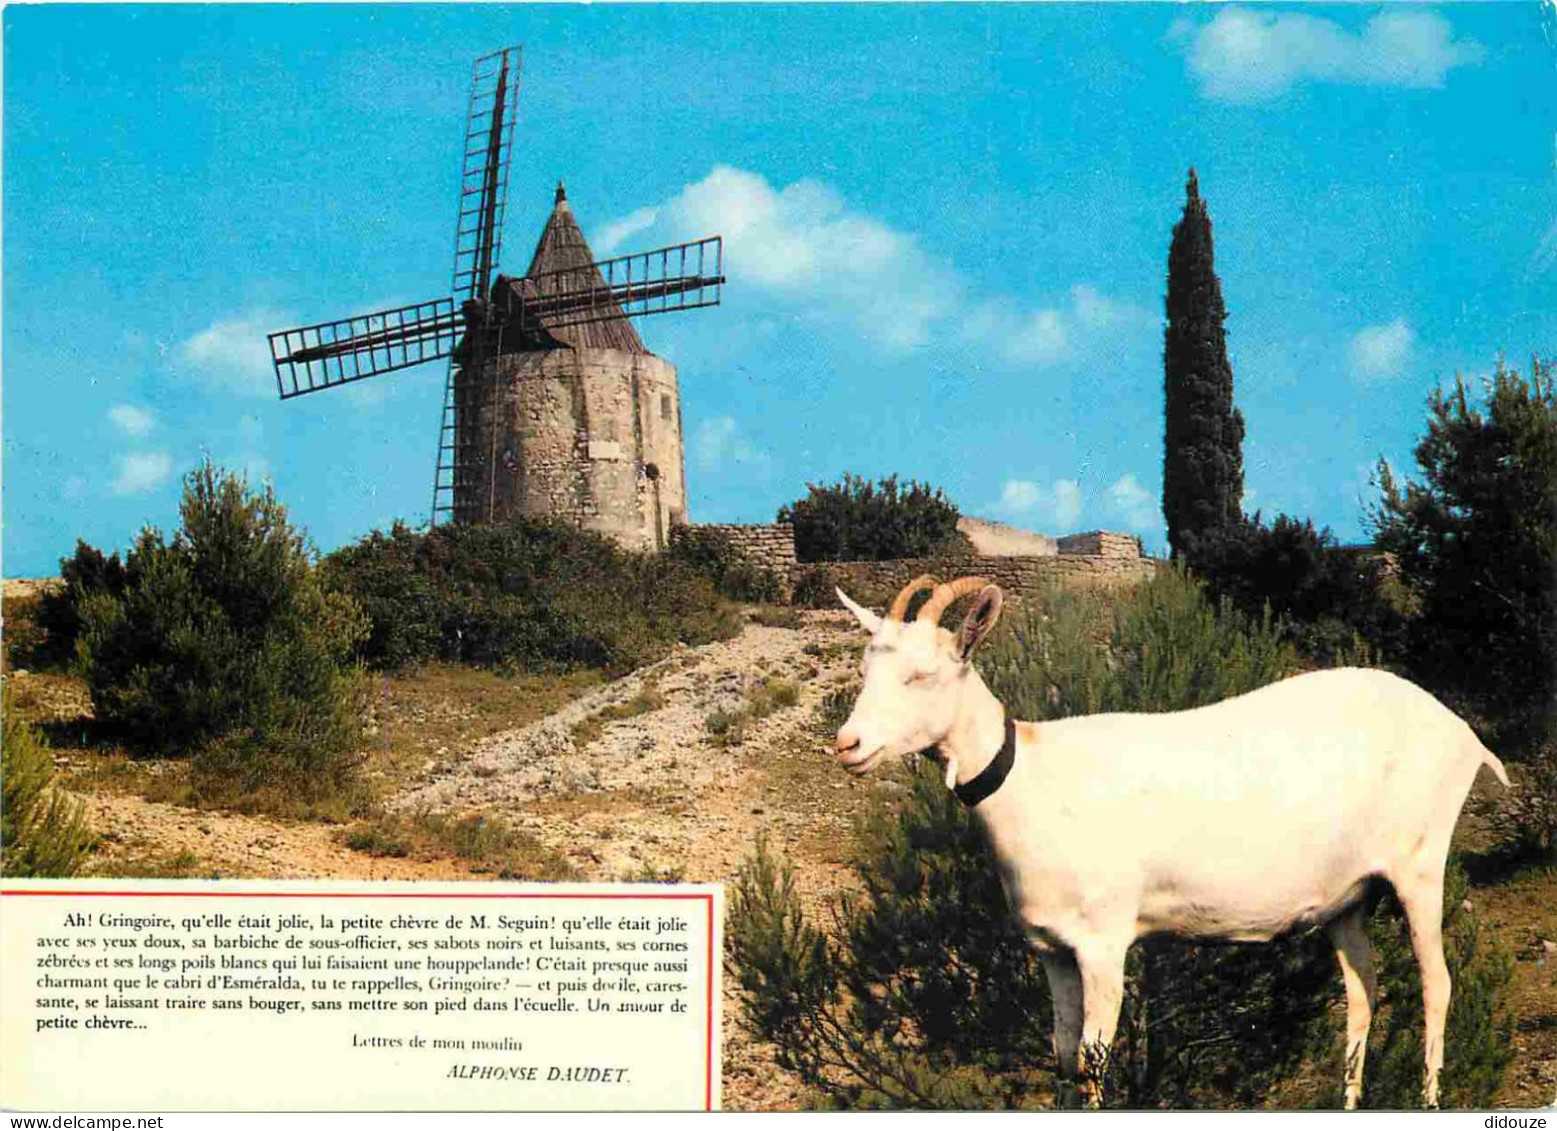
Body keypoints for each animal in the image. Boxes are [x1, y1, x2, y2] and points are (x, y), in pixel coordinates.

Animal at [834, 579, 1513, 1109]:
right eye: (866, 670)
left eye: (921, 674)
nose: (848, 744)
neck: (1034, 777)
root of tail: (1464, 735)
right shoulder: (1051, 949)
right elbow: (1063, 1055)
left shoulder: (1104, 943)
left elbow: (1095, 1060)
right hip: (1348, 898)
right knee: (1362, 992)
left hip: (1420, 865)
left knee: (1436, 984)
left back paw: (1429, 1099)